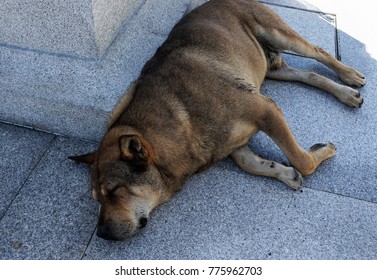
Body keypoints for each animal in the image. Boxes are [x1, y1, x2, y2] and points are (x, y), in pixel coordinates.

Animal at [68, 0, 364, 241]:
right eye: (97, 199)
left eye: (115, 191)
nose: (102, 234)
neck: (178, 119)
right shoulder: (233, 142)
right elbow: (251, 163)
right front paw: (281, 171)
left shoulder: (265, 110)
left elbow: (301, 160)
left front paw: (319, 153)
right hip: (269, 66)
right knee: (308, 75)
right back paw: (345, 93)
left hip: (277, 34)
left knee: (319, 51)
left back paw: (349, 76)